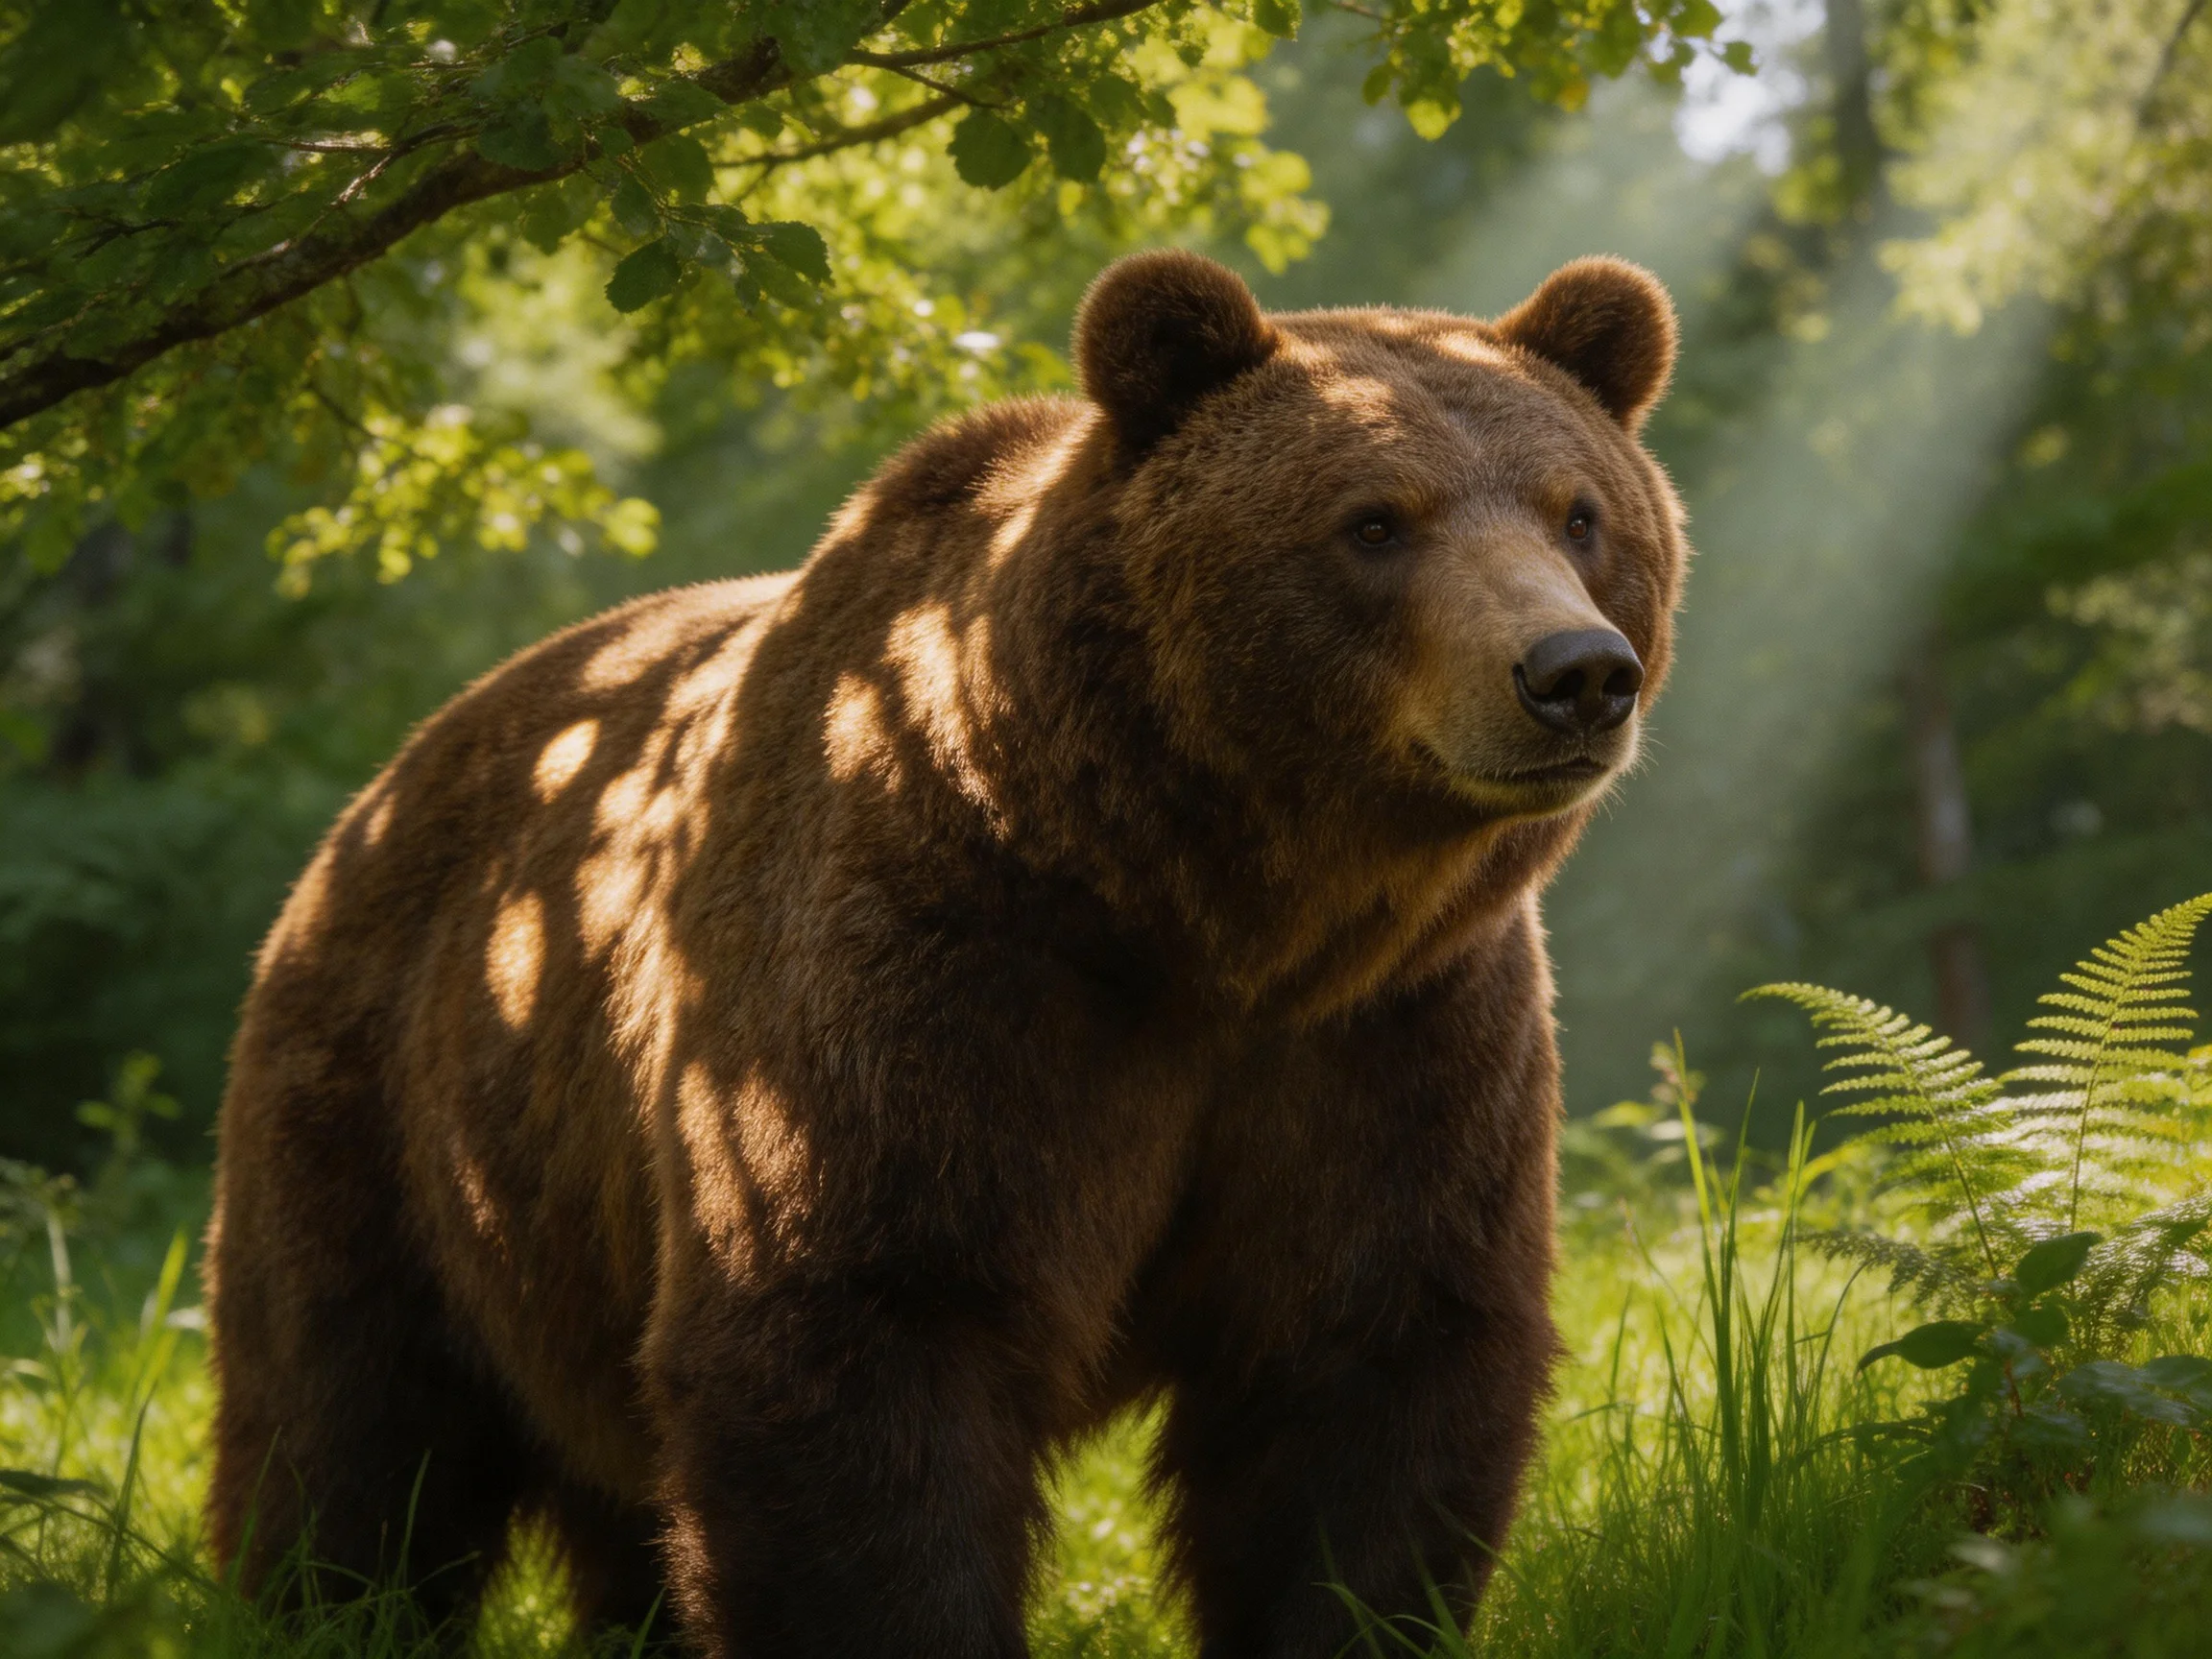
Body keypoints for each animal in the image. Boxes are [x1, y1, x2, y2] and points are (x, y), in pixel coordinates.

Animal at [204, 247, 1686, 1658]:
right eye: (1374, 521)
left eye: (1580, 512)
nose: (1575, 672)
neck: (1210, 911)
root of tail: (389, 778)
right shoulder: (937, 973)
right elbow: (865, 1333)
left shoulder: (1395, 1031)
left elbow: (1369, 1371)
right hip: (388, 1114)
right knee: (351, 1424)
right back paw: (318, 1599)